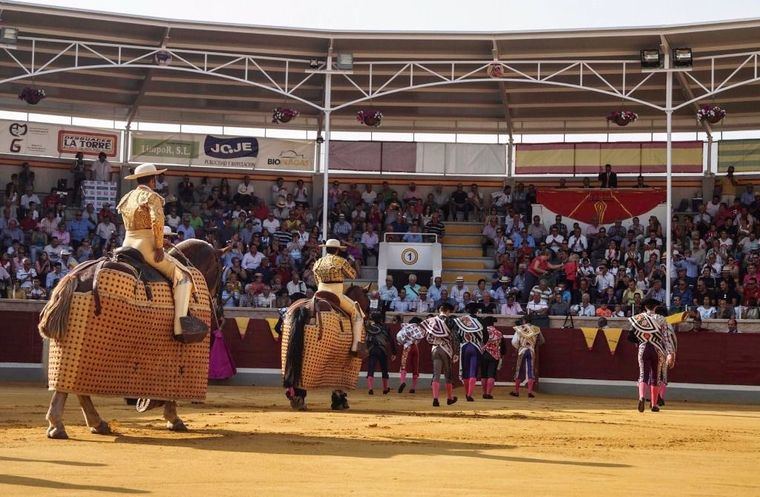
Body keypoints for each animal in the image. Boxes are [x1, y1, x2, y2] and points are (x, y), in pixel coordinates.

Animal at [40, 239, 223, 438]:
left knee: (72, 386)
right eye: (220, 270)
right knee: (74, 388)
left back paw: (85, 424)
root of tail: (75, 277)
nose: (219, 316)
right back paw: (64, 425)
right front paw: (174, 419)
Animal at [282, 282, 372, 410]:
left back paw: (295, 399)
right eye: (369, 301)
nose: (369, 320)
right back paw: (299, 400)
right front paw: (340, 401)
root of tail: (306, 306)